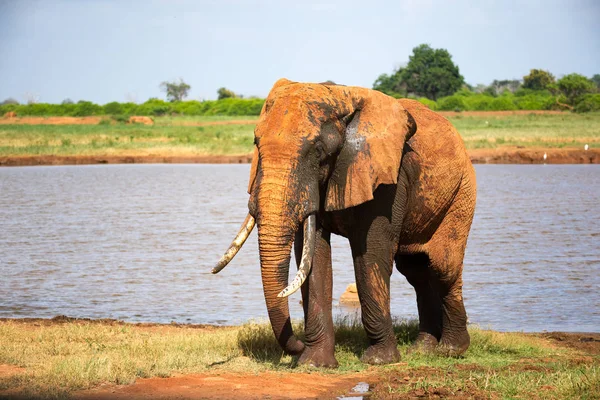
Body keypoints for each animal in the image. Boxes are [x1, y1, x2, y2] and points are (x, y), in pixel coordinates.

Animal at [213, 79, 476, 368]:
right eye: (256, 143)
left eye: (318, 150)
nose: (296, 346)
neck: (341, 96)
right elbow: (313, 256)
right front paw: (314, 364)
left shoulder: (384, 177)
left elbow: (370, 255)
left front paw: (379, 360)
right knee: (416, 270)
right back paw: (422, 350)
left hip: (462, 191)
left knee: (443, 267)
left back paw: (451, 350)